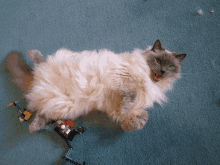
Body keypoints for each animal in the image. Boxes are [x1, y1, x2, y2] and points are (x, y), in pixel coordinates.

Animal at [4, 40, 186, 133]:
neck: (150, 81)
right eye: (159, 61)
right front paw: (127, 117)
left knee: (41, 114)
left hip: (63, 106)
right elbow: (130, 97)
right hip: (53, 75)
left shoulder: (123, 106)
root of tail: (36, 81)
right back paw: (31, 52)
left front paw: (129, 126)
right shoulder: (123, 81)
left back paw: (33, 127)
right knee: (39, 61)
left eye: (171, 67)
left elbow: (140, 117)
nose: (162, 72)